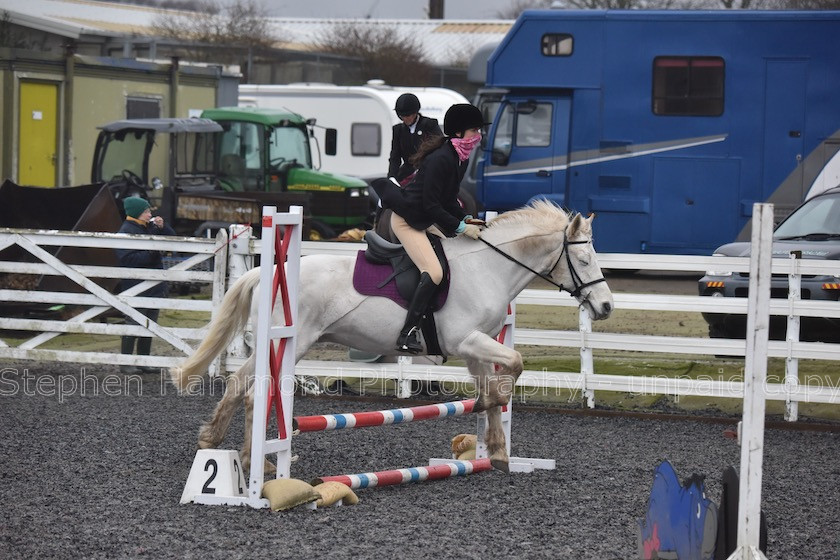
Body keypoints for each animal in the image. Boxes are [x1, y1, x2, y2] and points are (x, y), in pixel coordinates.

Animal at [172, 201, 616, 472]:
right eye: (582, 259)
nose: (607, 307)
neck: (488, 267)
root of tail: (263, 272)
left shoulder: (477, 348)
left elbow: (494, 387)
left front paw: (497, 450)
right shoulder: (464, 341)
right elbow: (515, 366)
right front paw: (495, 417)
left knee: (238, 383)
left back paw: (221, 445)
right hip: (291, 344)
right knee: (254, 393)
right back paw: (256, 463)